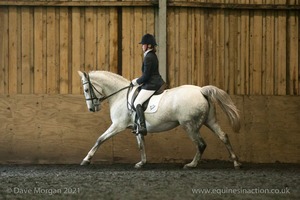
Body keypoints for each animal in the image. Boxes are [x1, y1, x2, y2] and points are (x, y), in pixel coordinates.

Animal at [77, 70, 241, 169]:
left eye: (86, 89)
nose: (91, 109)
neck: (120, 95)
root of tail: (201, 91)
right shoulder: (136, 127)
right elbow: (141, 145)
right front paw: (142, 163)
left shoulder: (117, 125)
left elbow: (100, 139)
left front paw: (86, 159)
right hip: (210, 121)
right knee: (223, 136)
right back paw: (236, 162)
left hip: (190, 125)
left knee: (201, 144)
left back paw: (191, 165)